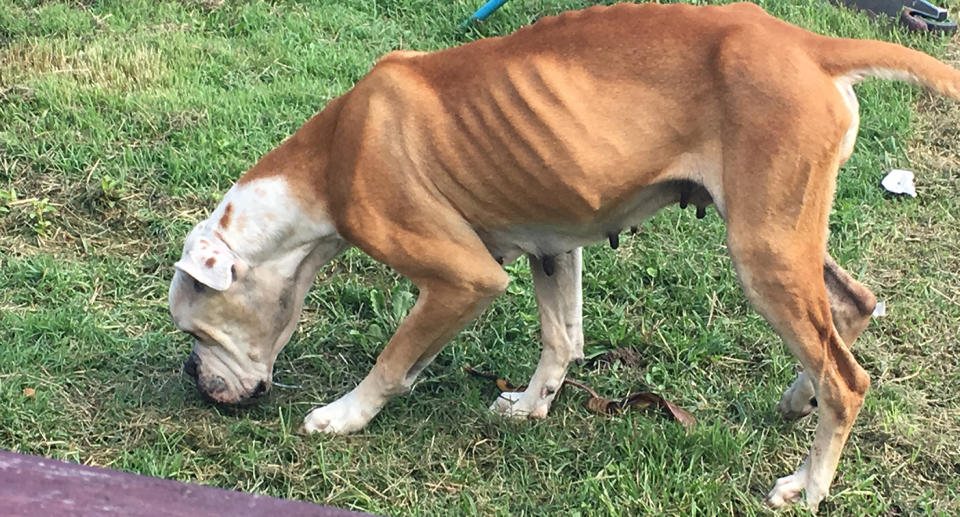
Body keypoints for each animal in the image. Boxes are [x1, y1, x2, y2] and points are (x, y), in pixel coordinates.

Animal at [167, 2, 960, 510]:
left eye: (192, 327)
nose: (191, 380)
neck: (330, 162)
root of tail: (806, 44)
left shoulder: (463, 279)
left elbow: (392, 359)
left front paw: (345, 415)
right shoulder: (552, 248)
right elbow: (560, 340)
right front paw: (529, 406)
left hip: (762, 250)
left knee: (847, 377)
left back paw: (809, 483)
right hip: (784, 238)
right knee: (849, 309)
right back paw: (800, 398)